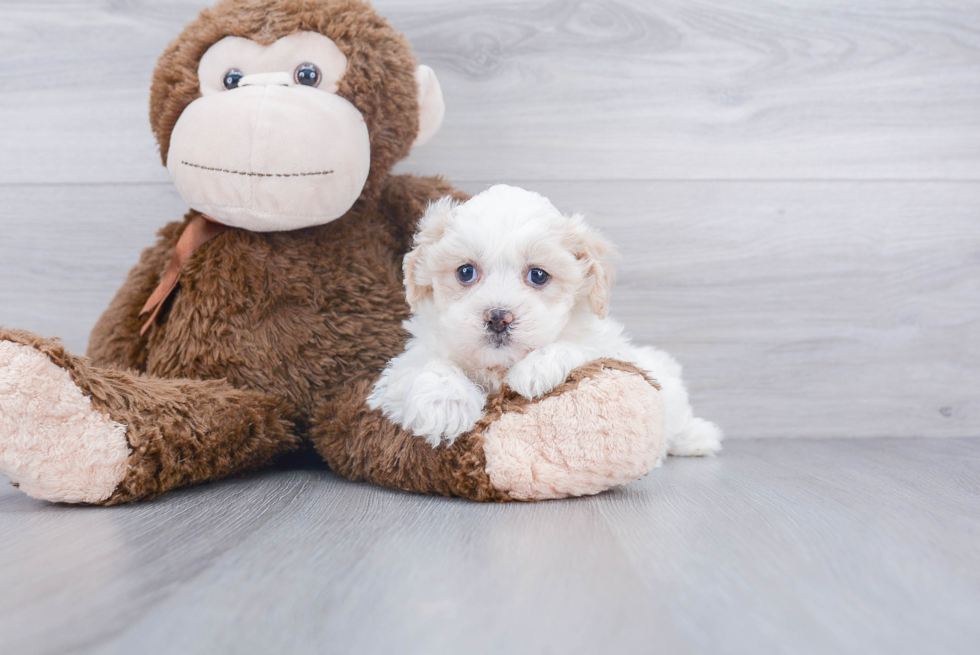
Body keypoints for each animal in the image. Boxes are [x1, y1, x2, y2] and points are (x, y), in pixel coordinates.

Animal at [368, 184, 720, 458]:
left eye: (538, 275)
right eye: (465, 272)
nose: (498, 317)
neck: (498, 366)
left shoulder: (609, 346)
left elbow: (581, 348)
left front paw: (538, 367)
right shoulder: (408, 362)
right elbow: (428, 366)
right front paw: (445, 405)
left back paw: (697, 437)